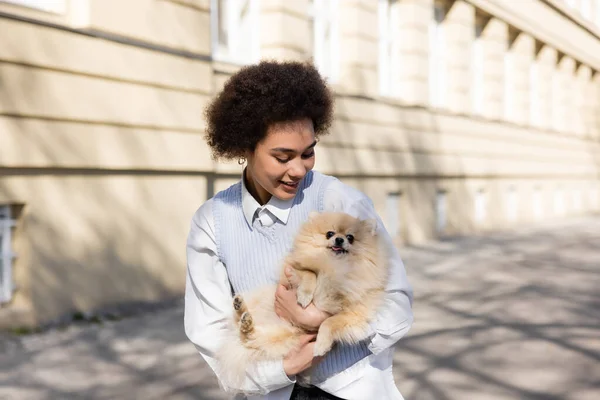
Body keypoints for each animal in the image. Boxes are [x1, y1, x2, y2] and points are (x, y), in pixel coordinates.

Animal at [216, 211, 390, 392]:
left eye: (350, 237)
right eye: (330, 234)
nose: (339, 239)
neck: (334, 265)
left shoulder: (354, 313)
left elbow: (328, 322)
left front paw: (321, 345)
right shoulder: (292, 271)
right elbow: (309, 273)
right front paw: (305, 295)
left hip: (283, 336)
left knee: (249, 337)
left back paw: (245, 321)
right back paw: (240, 309)